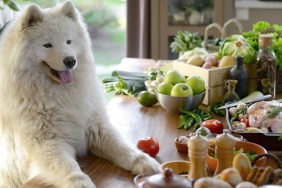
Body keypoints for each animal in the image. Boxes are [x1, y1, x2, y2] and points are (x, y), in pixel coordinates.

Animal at [0, 0, 160, 187]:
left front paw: (144, 161)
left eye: (69, 41)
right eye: (47, 45)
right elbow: (69, 167)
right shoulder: (47, 142)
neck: (60, 93)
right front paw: (81, 183)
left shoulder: (96, 126)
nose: (70, 61)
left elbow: (122, 147)